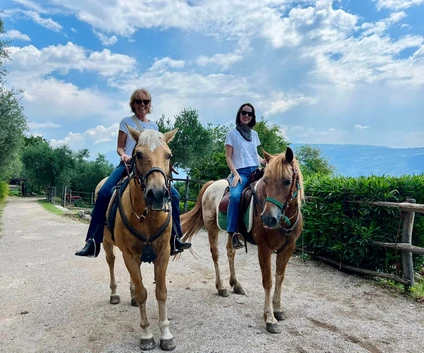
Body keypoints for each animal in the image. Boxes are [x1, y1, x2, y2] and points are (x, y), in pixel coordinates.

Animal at [98, 126, 178, 350]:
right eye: (138, 155)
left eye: (168, 155)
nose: (157, 194)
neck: (147, 217)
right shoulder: (130, 255)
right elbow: (144, 293)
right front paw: (147, 335)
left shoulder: (162, 254)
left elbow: (161, 292)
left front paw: (166, 335)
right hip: (108, 245)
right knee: (111, 262)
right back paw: (114, 294)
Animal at [181, 146, 304, 332]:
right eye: (266, 180)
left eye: (287, 181)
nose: (268, 219)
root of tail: (212, 184)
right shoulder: (264, 248)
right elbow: (268, 281)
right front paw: (270, 318)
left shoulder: (288, 248)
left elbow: (280, 278)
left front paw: (278, 309)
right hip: (212, 227)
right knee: (215, 255)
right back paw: (221, 287)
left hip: (232, 233)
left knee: (230, 252)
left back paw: (235, 284)